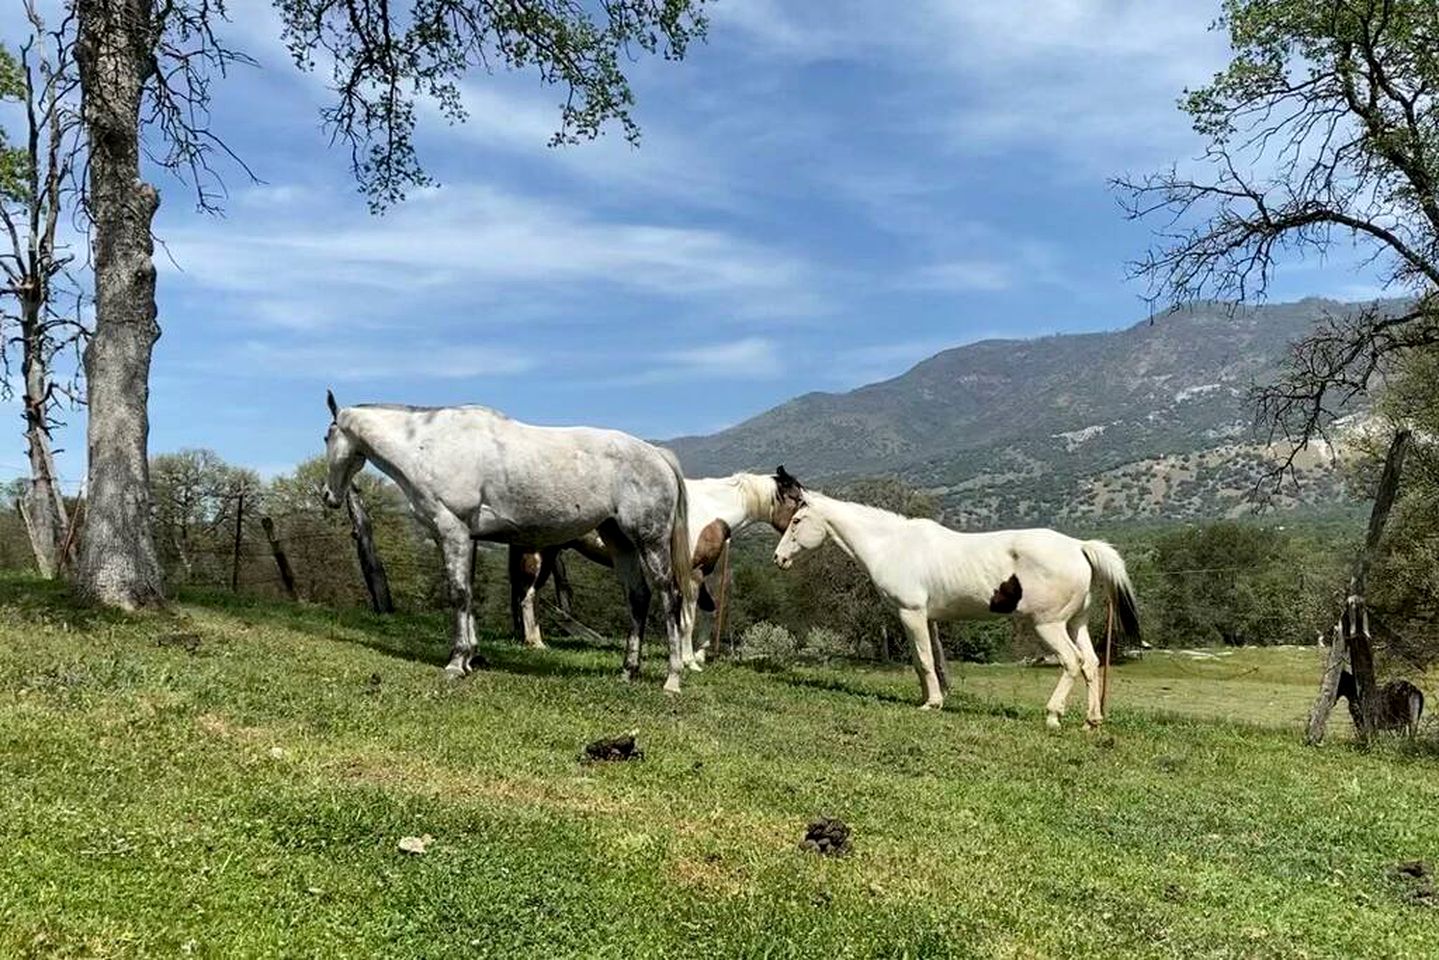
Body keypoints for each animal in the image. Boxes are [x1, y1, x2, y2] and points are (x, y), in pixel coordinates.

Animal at [319, 391, 696, 690]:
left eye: (326, 436)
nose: (327, 495)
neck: (430, 444)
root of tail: (657, 454)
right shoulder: (467, 536)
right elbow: (469, 594)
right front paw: (473, 657)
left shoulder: (452, 530)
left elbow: (458, 594)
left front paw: (456, 662)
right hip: (621, 543)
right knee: (638, 598)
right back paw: (628, 671)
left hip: (650, 541)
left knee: (669, 597)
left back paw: (672, 678)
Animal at [771, 495, 1139, 728]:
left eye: (797, 520)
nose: (778, 558)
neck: (892, 545)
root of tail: (1079, 547)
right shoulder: (925, 619)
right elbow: (924, 661)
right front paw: (930, 698)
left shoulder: (911, 614)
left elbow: (923, 659)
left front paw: (932, 703)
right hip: (1076, 623)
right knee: (1091, 664)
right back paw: (1092, 721)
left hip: (1049, 625)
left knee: (1071, 663)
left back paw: (1052, 716)